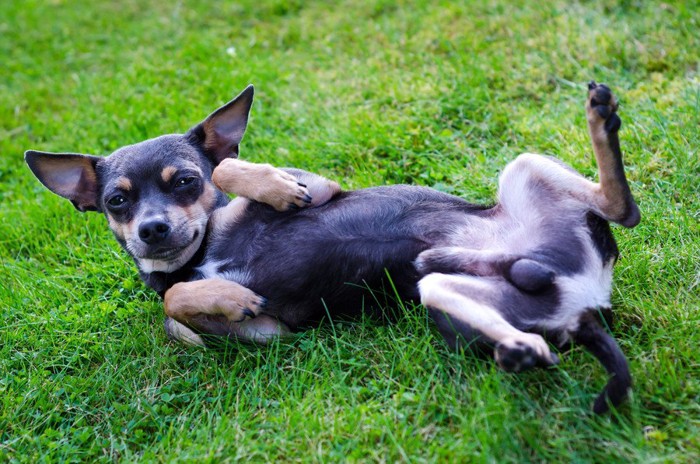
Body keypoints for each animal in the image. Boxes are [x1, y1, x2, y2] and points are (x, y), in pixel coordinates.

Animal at [26, 81, 640, 412]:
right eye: (117, 202)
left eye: (185, 182)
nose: (152, 229)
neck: (199, 256)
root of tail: (589, 302)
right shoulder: (269, 332)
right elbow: (174, 306)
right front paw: (223, 299)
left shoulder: (317, 185)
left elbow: (228, 167)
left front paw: (272, 188)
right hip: (442, 290)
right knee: (532, 326)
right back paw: (517, 350)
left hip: (523, 170)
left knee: (624, 209)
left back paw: (601, 119)